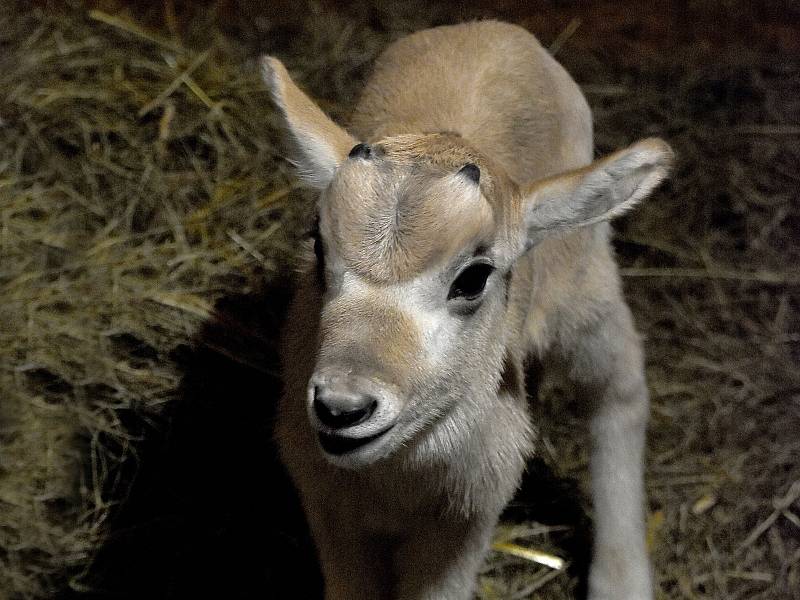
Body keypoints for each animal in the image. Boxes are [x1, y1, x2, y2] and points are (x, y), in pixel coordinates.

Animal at [266, 18, 672, 600]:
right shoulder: (327, 502)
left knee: (619, 386)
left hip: (584, 277)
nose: (341, 406)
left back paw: (622, 578)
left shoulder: (468, 516)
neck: (396, 472)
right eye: (317, 247)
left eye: (474, 277)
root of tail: (494, 29)